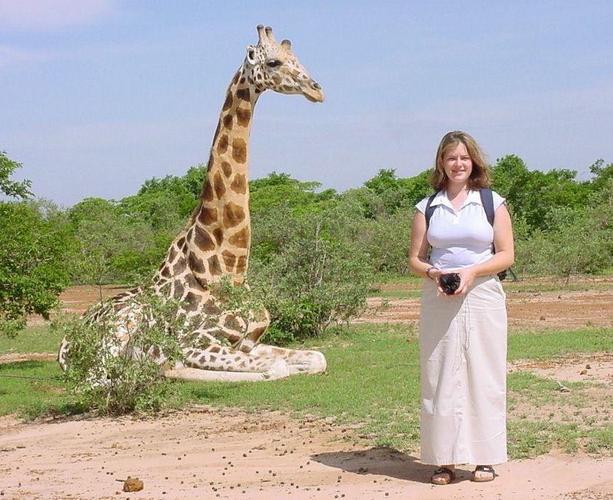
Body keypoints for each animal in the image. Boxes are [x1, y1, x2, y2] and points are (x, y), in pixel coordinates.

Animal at [56, 24, 326, 382]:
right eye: (273, 62)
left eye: (297, 58)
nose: (316, 90)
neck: (230, 269)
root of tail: (62, 347)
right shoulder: (195, 341)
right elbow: (276, 368)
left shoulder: (250, 342)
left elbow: (316, 358)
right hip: (118, 333)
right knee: (102, 379)